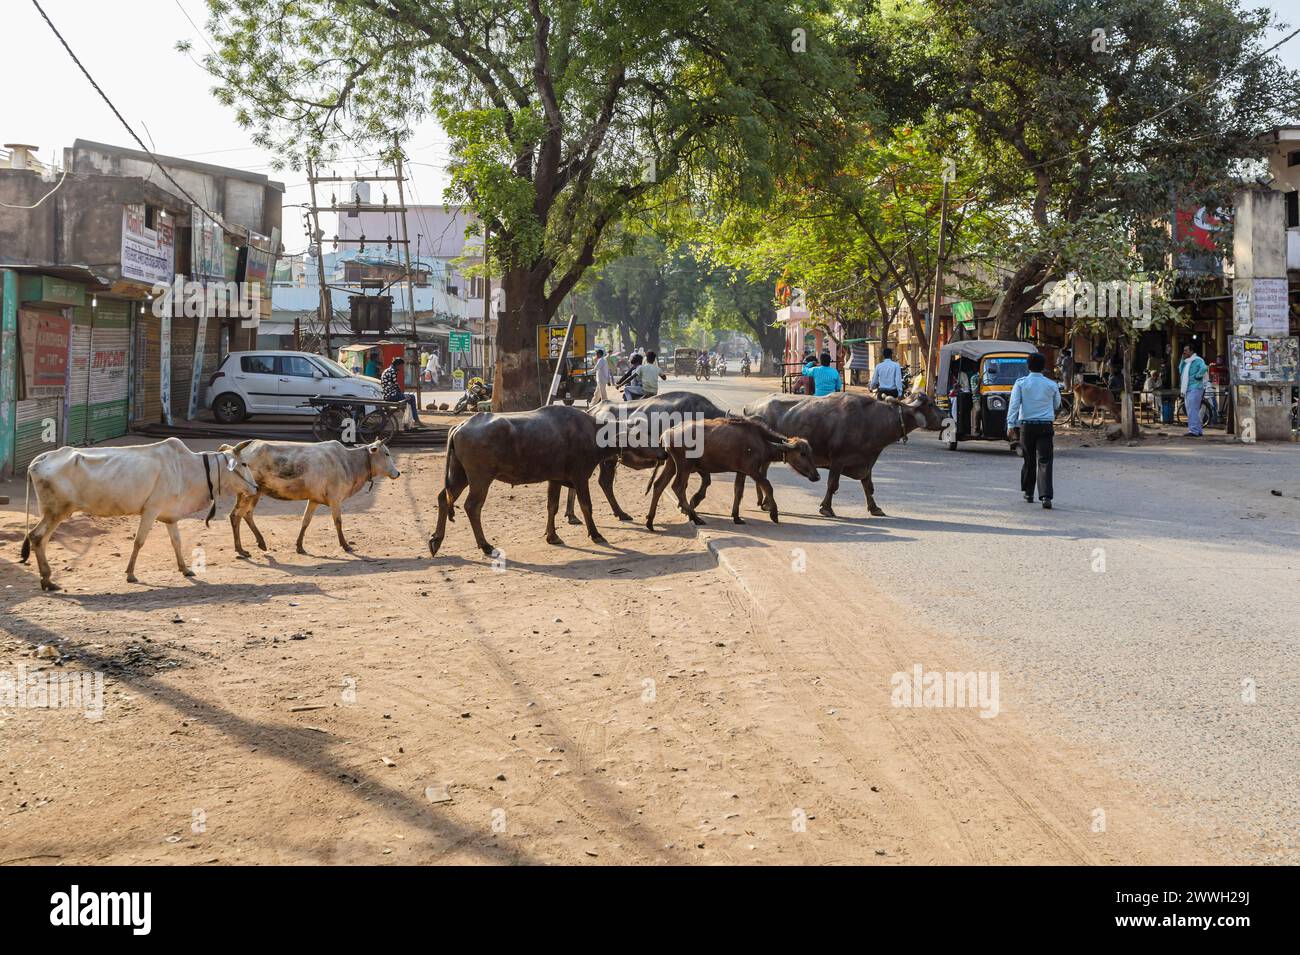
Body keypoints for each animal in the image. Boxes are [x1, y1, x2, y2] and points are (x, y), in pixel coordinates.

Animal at [20, 433, 257, 587]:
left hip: (55, 513)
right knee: (37, 536)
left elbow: (177, 542)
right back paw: (48, 580)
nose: (255, 487)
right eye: (244, 464)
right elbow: (139, 541)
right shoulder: (151, 510)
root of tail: (39, 460)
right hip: (55, 512)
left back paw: (47, 579)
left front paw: (185, 569)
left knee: (40, 539)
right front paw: (130, 574)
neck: (188, 468)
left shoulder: (170, 516)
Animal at [428, 405, 616, 561]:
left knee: (443, 498)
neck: (593, 430)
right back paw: (485, 545)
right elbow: (586, 506)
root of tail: (461, 426)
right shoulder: (580, 477)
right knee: (472, 506)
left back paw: (436, 540)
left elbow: (552, 506)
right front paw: (595, 534)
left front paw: (552, 536)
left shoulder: (555, 478)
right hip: (480, 478)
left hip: (459, 474)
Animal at [561, 389, 733, 527]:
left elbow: (702, 481)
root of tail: (592, 411)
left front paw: (687, 505)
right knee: (604, 482)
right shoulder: (689, 462)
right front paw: (692, 502)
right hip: (608, 460)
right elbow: (702, 481)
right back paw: (620, 513)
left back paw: (572, 515)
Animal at [644, 415, 816, 530]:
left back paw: (650, 521)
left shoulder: (741, 471)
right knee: (678, 487)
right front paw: (774, 513)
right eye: (802, 454)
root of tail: (668, 432)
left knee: (659, 485)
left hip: (672, 464)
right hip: (684, 466)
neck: (760, 440)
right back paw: (695, 517)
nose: (817, 475)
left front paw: (736, 516)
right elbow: (767, 485)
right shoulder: (752, 470)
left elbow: (738, 491)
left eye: (810, 452)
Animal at [748, 392, 951, 519]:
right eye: (931, 404)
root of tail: (751, 407)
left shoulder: (866, 461)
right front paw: (826, 508)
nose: (947, 418)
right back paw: (766, 503)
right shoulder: (838, 460)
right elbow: (833, 485)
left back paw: (765, 503)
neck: (871, 420)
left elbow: (868, 486)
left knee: (762, 474)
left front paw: (875, 508)